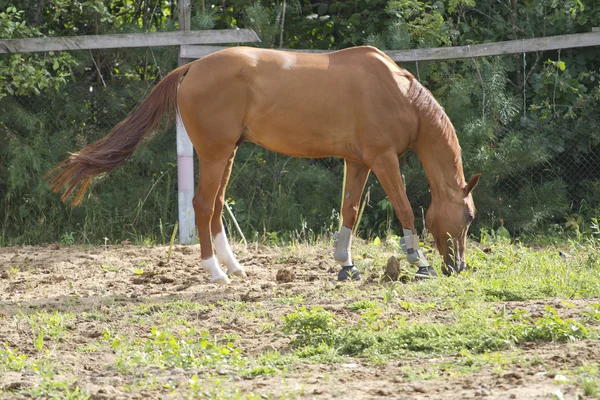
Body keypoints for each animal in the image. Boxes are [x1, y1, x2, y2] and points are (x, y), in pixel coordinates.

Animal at [47, 46, 480, 284]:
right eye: (469, 217)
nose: (458, 267)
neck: (399, 93)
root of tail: (191, 68)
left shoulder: (357, 161)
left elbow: (350, 211)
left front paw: (346, 266)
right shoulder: (383, 157)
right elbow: (404, 208)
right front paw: (419, 263)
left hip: (227, 155)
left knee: (215, 208)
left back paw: (235, 268)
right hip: (216, 154)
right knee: (202, 205)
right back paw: (215, 273)